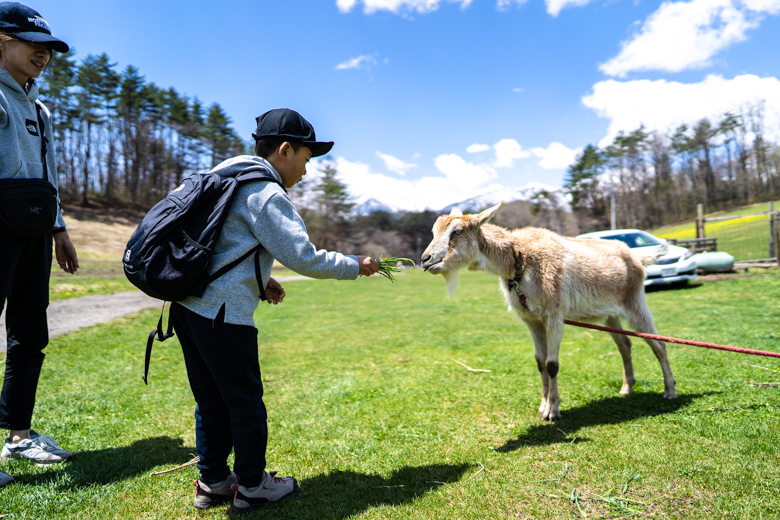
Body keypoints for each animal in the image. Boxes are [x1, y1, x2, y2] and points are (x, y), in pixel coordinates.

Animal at [420, 201, 676, 420]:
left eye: (457, 231)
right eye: (434, 231)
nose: (425, 259)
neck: (519, 260)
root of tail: (636, 255)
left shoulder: (554, 315)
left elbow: (552, 364)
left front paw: (552, 411)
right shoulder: (531, 319)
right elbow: (540, 361)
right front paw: (543, 406)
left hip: (634, 302)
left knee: (658, 344)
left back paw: (670, 391)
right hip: (611, 314)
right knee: (625, 344)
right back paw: (626, 388)